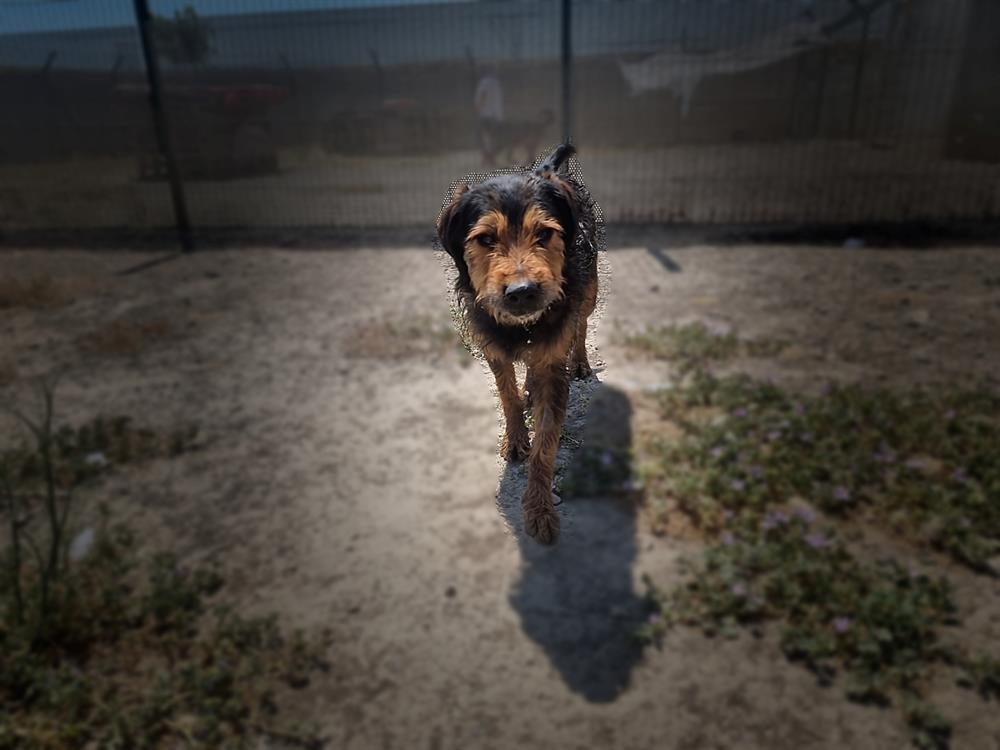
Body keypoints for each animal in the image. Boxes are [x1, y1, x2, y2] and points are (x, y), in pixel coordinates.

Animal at [436, 143, 601, 544]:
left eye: (544, 233)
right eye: (485, 239)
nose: (522, 291)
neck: (521, 326)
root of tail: (547, 168)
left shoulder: (553, 362)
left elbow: (546, 444)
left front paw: (539, 510)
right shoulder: (493, 348)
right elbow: (507, 393)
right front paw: (515, 437)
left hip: (589, 292)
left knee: (581, 325)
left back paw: (581, 361)